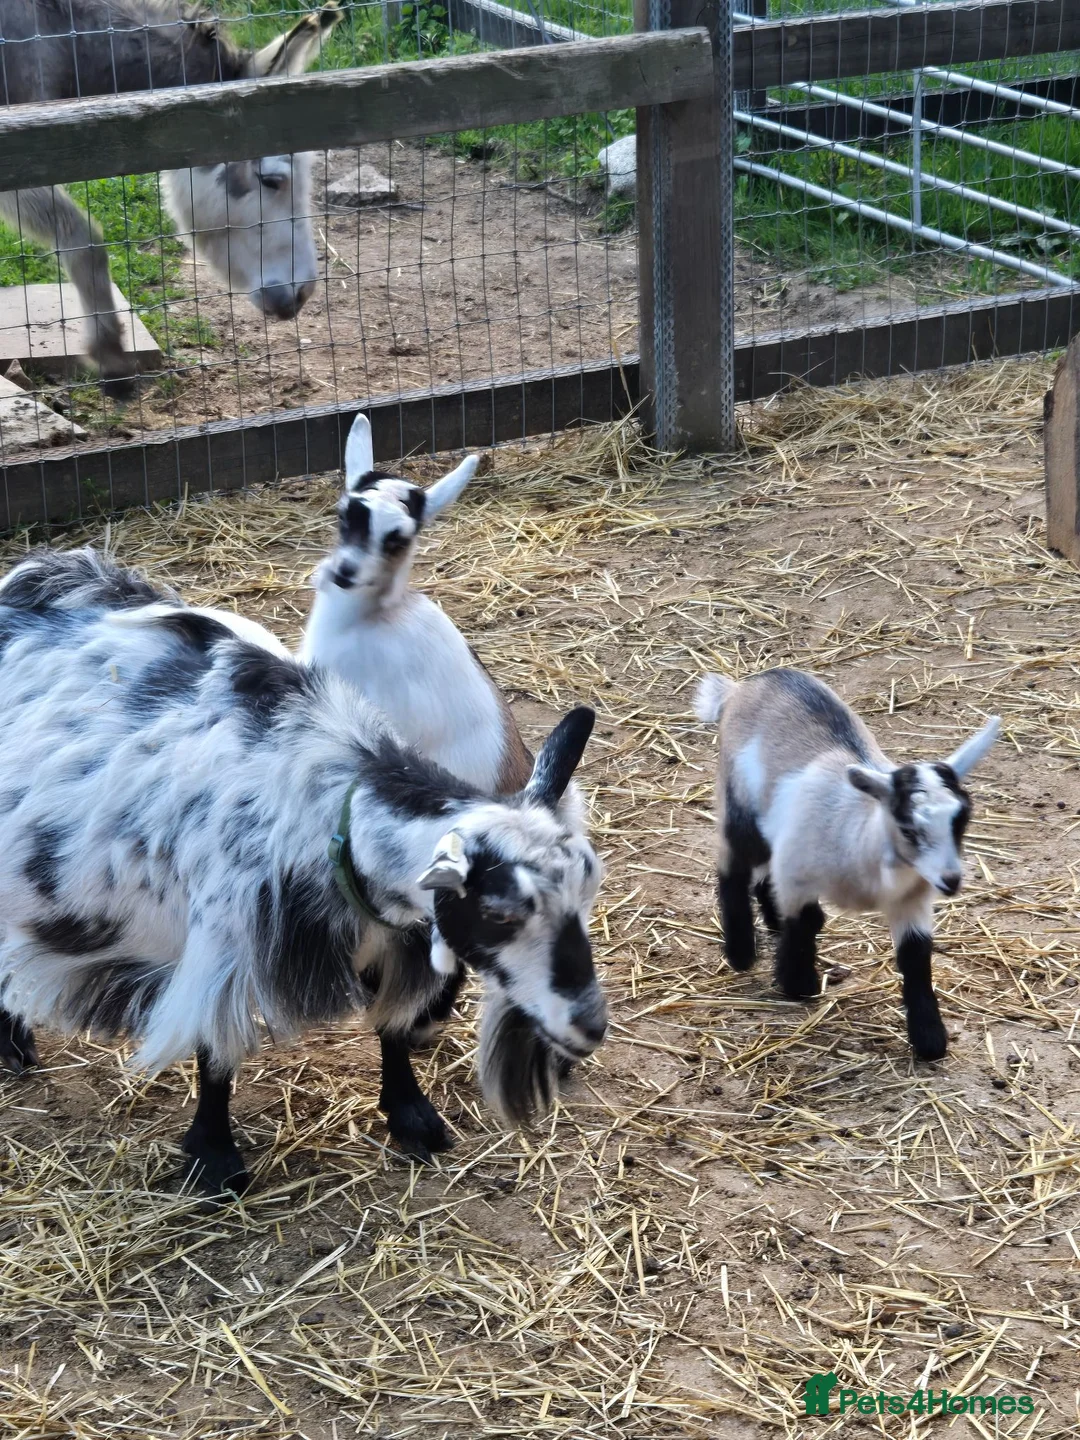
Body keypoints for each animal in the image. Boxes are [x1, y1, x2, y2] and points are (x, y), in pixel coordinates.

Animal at [0, 1, 341, 394]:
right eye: (272, 181)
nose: (303, 294)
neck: (56, 40)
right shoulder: (20, 157)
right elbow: (85, 239)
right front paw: (110, 353)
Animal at [0, 547, 606, 1196]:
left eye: (586, 893)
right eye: (497, 910)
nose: (591, 1024)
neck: (331, 810)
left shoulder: (392, 935)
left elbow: (392, 1024)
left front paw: (411, 1114)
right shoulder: (223, 946)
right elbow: (215, 1054)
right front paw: (214, 1158)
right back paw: (12, 1042)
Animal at [694, 667, 999, 1061]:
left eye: (962, 820)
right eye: (907, 826)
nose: (951, 881)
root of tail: (750, 683)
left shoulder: (911, 901)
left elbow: (916, 957)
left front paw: (929, 1038)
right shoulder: (797, 873)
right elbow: (803, 922)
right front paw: (798, 984)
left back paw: (774, 925)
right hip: (739, 805)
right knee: (733, 868)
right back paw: (741, 953)